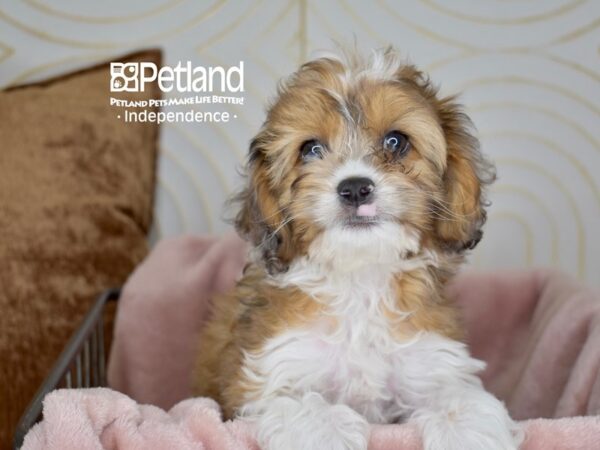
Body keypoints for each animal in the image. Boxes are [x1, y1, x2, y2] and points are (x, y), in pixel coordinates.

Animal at [195, 49, 524, 450]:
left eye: (396, 142)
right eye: (311, 149)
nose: (354, 188)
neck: (360, 278)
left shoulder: (431, 363)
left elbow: (461, 398)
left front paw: (467, 433)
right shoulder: (269, 374)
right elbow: (303, 404)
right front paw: (324, 432)